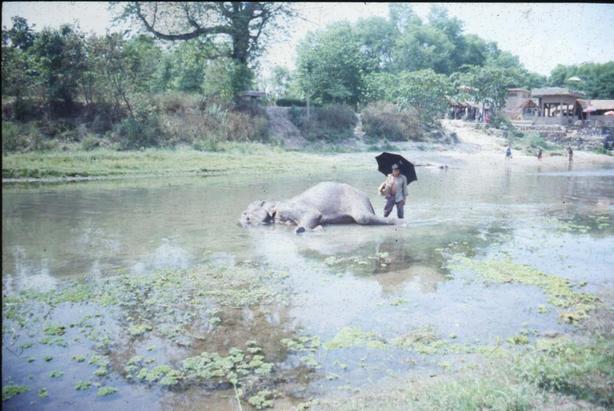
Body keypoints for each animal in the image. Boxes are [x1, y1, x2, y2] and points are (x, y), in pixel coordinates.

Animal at [241, 182, 400, 233]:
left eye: (245, 214)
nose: (241, 220)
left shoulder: (289, 207)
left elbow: (314, 215)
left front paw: (313, 229)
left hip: (358, 202)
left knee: (364, 218)